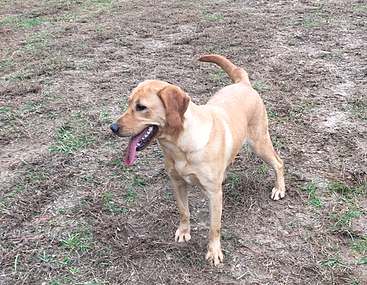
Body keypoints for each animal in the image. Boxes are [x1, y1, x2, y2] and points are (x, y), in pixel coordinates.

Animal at [110, 55, 286, 264]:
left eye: (141, 107)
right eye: (128, 103)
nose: (112, 127)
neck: (180, 147)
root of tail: (242, 83)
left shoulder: (214, 195)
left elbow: (214, 227)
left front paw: (214, 252)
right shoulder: (177, 183)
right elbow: (183, 211)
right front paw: (184, 232)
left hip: (260, 145)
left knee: (278, 163)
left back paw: (279, 189)